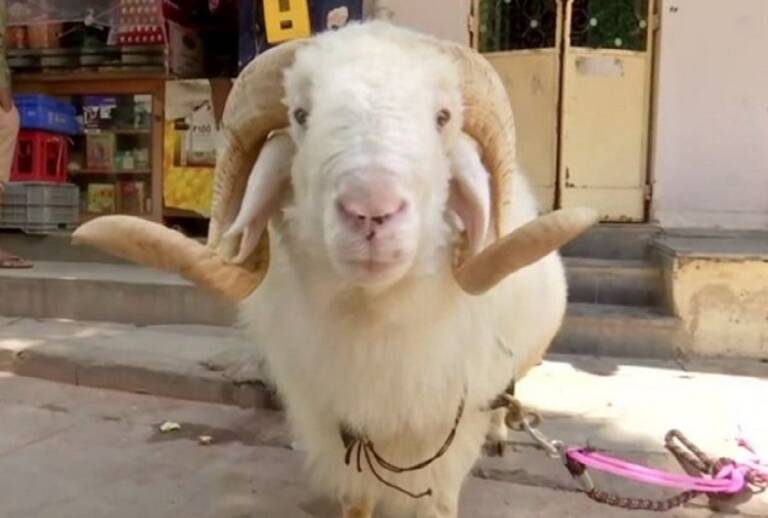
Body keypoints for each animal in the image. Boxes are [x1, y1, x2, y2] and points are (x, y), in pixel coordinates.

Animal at [73, 21, 597, 518]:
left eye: (443, 118)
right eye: (300, 115)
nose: (371, 210)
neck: (373, 324)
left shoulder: (448, 438)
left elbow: (441, 501)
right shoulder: (335, 423)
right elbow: (356, 500)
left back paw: (500, 435)